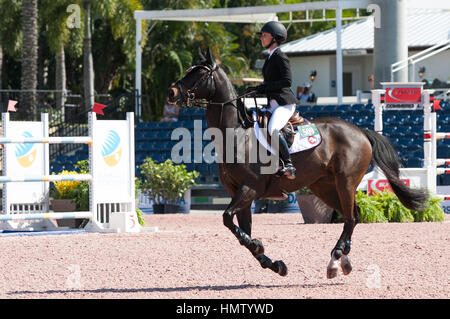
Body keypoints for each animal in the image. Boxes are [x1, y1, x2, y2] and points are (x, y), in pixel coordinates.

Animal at [167, 48, 428, 280]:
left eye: (199, 74)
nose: (171, 92)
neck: (236, 136)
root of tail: (360, 132)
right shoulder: (238, 193)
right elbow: (240, 230)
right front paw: (273, 263)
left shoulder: (249, 189)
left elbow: (227, 219)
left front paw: (261, 248)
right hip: (323, 187)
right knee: (352, 215)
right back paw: (341, 260)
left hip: (345, 183)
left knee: (351, 218)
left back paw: (336, 259)